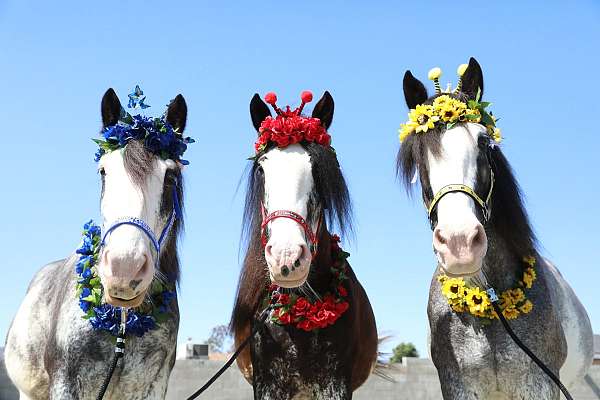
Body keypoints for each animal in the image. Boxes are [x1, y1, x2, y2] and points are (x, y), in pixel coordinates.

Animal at [4, 88, 190, 400]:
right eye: (103, 171)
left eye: (170, 176)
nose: (124, 268)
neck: (123, 324)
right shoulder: (65, 385)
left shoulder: (152, 387)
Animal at [396, 57, 592, 398]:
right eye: (418, 155)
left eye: (484, 143)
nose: (459, 243)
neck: (489, 300)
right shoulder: (458, 385)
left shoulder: (539, 384)